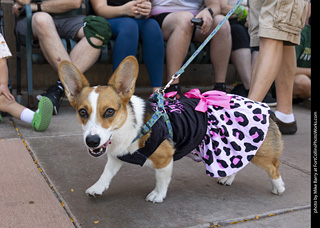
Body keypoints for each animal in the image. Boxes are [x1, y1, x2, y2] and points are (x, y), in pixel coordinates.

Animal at [58, 56, 284, 202]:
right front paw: (97, 188)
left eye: (109, 112)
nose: (92, 141)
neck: (133, 127)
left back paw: (278, 187)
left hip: (259, 154)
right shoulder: (117, 156)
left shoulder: (164, 159)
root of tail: (262, 106)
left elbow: (161, 180)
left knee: (273, 167)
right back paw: (228, 178)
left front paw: (157, 195)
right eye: (83, 112)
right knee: (236, 164)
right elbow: (107, 173)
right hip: (232, 151)